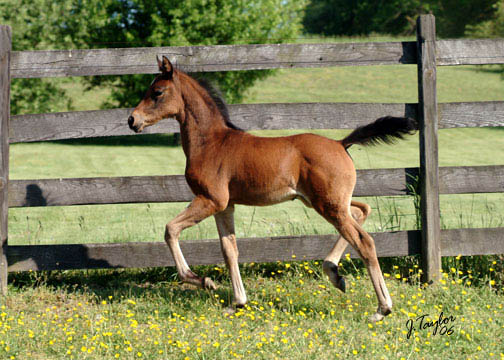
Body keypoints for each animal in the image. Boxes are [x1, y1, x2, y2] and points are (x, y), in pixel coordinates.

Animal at [128, 57, 416, 324]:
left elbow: (171, 229)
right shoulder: (225, 206)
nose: (132, 120)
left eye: (157, 92)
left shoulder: (210, 200)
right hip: (327, 202)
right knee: (362, 210)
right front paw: (237, 302)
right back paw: (334, 273)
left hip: (328, 205)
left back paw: (382, 308)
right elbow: (229, 250)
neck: (211, 142)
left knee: (364, 241)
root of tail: (340, 143)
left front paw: (201, 280)